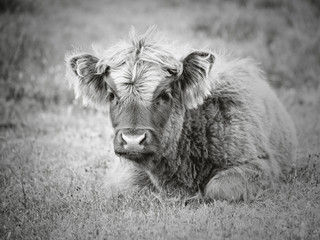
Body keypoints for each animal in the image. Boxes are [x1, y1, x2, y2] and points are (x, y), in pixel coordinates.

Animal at [65, 26, 298, 202]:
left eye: (165, 94)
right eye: (112, 95)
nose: (133, 140)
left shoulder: (260, 164)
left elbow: (220, 189)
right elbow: (127, 189)